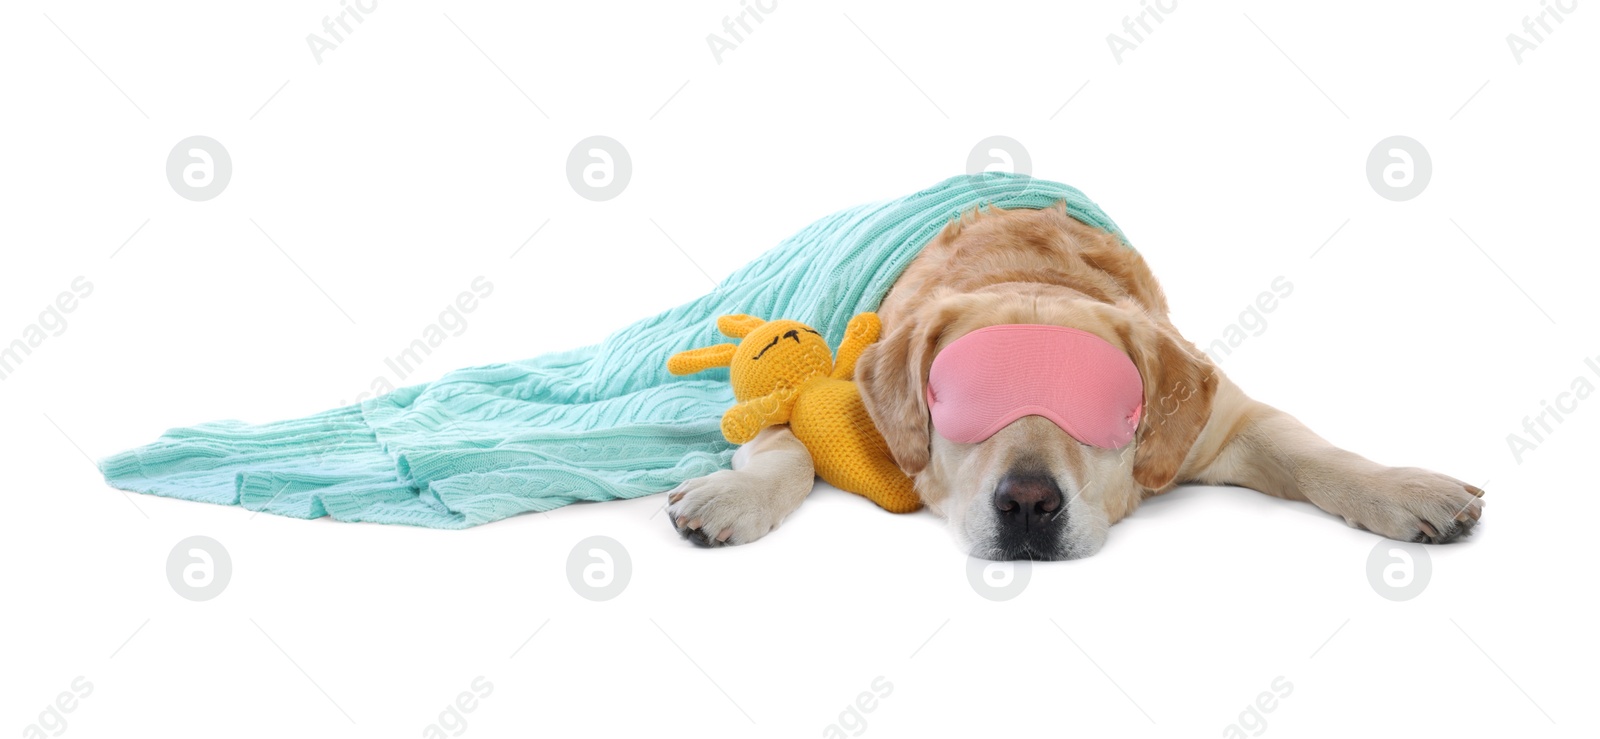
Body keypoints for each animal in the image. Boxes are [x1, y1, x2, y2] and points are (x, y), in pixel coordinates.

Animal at [656, 202, 1478, 559]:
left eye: (1098, 403)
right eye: (968, 397)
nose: (1027, 504)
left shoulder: (1218, 422)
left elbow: (1315, 454)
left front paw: (1406, 488)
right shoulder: (849, 398)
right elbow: (786, 444)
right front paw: (733, 494)